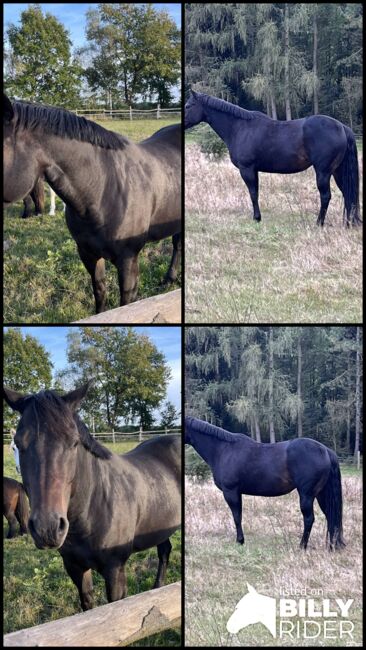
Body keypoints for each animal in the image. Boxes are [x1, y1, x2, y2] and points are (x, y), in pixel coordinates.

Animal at [2, 382, 180, 612]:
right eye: (17, 443)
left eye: (73, 442)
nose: (47, 529)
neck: (95, 507)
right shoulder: (75, 568)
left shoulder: (115, 571)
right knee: (165, 550)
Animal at [186, 88, 360, 225]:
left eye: (188, 106)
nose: (183, 125)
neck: (240, 128)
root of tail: (342, 127)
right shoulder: (254, 170)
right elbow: (255, 192)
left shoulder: (247, 169)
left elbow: (253, 193)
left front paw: (256, 218)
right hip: (338, 171)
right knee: (347, 193)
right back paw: (349, 223)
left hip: (323, 172)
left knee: (326, 196)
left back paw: (319, 223)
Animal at [186, 416, 346, 548]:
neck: (223, 450)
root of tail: (325, 450)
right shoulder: (237, 493)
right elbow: (239, 515)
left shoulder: (230, 492)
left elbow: (237, 516)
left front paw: (240, 541)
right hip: (321, 494)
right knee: (330, 516)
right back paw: (332, 545)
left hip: (307, 495)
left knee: (309, 519)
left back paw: (302, 546)